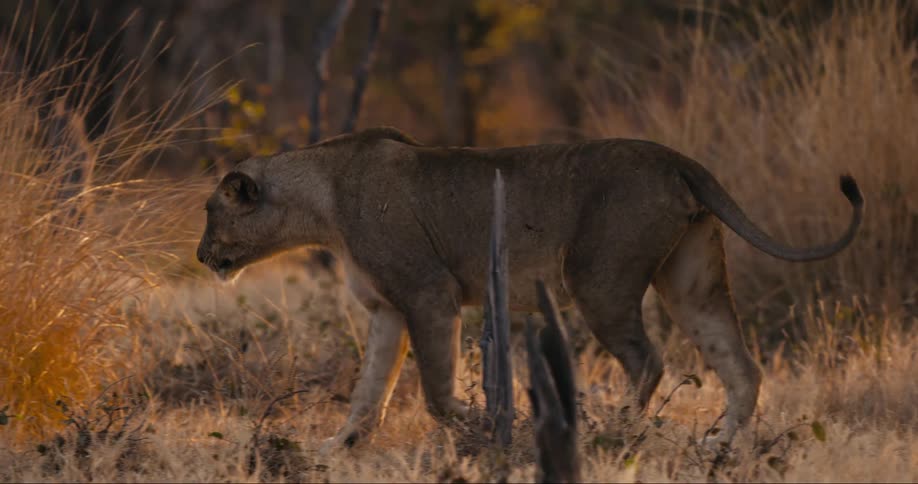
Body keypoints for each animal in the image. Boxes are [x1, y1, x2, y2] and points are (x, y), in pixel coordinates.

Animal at [196, 127, 863, 448]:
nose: (201, 256)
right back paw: (717, 445)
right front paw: (338, 448)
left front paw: (489, 425)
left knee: (648, 360)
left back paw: (612, 429)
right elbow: (368, 393)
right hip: (690, 281)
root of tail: (679, 158)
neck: (322, 200)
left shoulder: (429, 293)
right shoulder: (388, 310)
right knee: (741, 365)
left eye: (210, 212)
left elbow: (435, 393)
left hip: (597, 277)